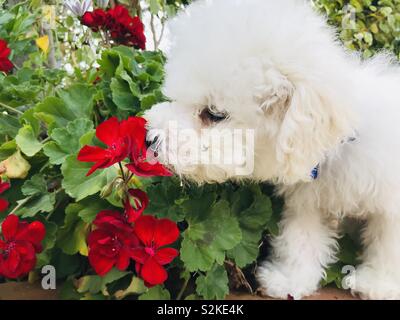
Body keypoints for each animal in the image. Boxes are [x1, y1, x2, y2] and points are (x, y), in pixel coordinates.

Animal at [145, 0, 400, 300]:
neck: (339, 146)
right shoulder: (307, 200)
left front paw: (379, 283)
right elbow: (302, 238)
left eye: (214, 114)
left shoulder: (391, 206)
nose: (150, 138)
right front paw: (290, 279)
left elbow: (389, 245)